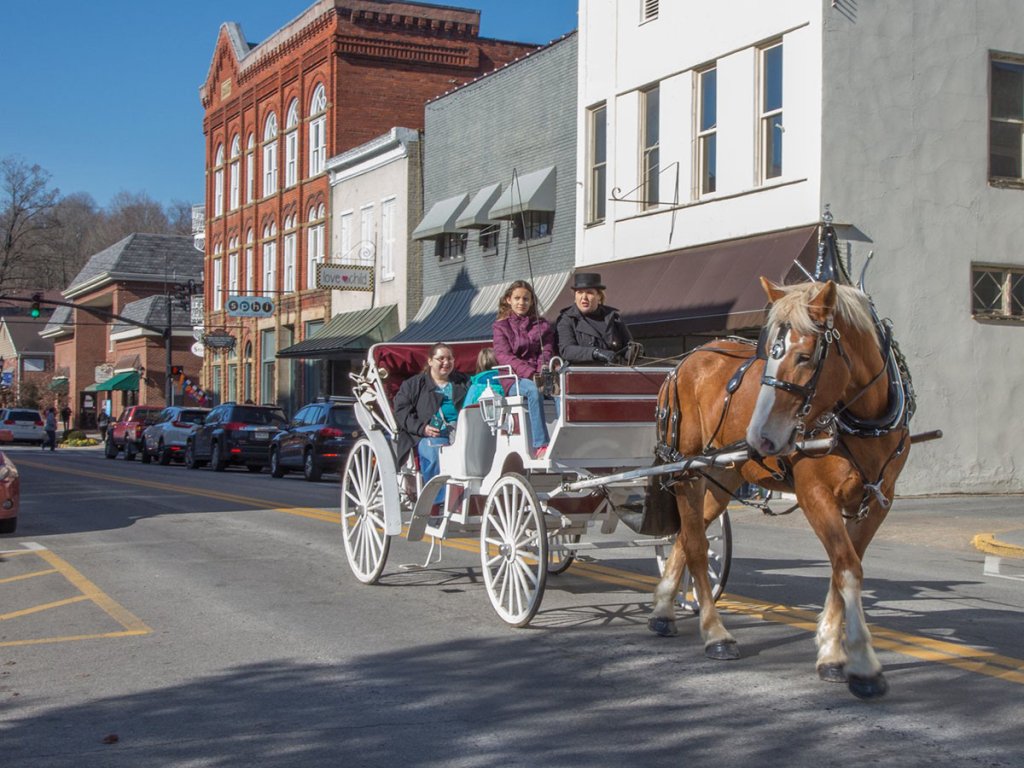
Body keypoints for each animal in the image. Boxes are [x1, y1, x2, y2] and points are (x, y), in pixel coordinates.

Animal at [651, 280, 909, 700]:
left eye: (805, 356)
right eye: (768, 351)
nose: (760, 437)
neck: (861, 421)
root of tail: (681, 365)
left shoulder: (876, 500)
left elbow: (844, 566)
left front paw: (830, 650)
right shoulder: (814, 494)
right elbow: (847, 567)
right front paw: (861, 663)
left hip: (725, 475)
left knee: (688, 536)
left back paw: (662, 610)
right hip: (688, 470)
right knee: (695, 545)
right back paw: (715, 632)